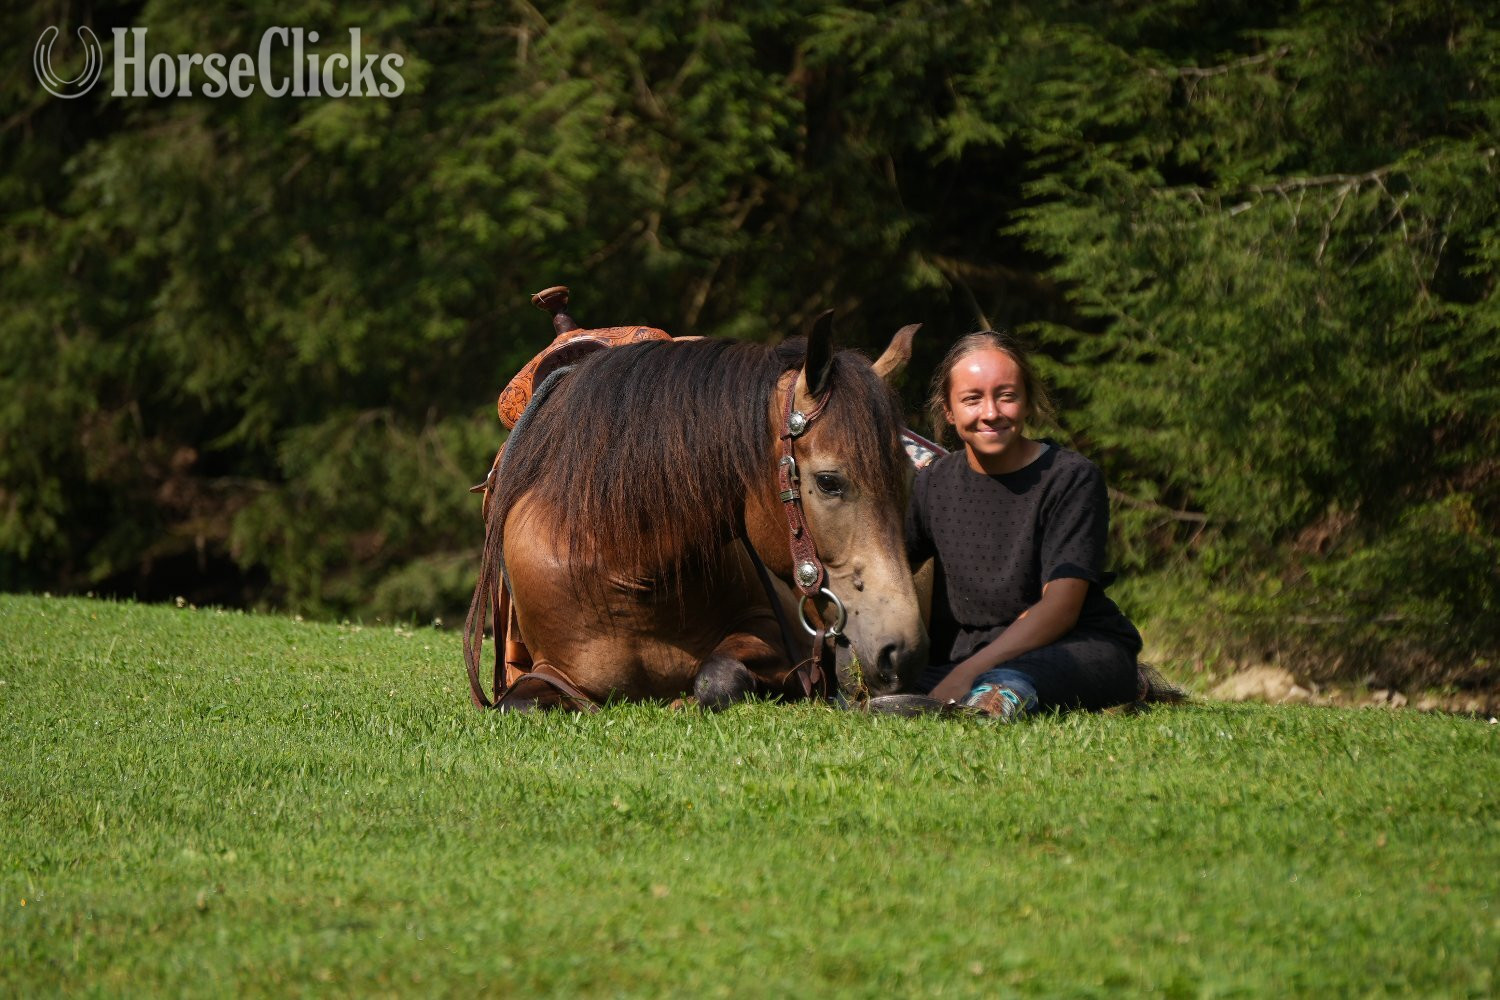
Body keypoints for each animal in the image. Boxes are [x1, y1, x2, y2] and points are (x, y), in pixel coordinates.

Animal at [465, 307, 929, 710]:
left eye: (908, 479)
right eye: (829, 482)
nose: (902, 651)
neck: (624, 569)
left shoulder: (774, 635)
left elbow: (717, 677)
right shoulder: (547, 673)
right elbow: (518, 706)